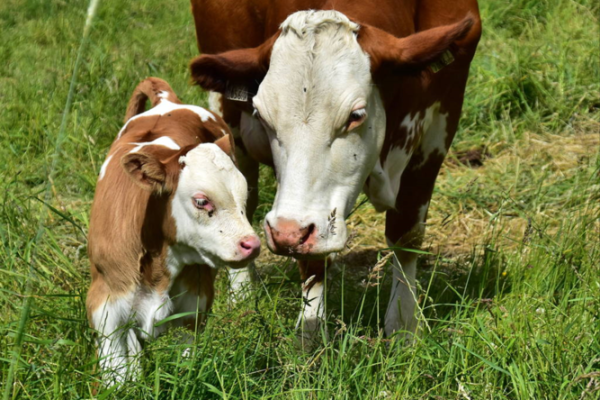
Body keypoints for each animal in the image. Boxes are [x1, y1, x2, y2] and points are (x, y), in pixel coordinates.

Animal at [86, 76, 260, 382]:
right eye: (201, 201)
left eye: (243, 196)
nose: (251, 244)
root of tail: (168, 102)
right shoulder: (106, 309)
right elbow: (117, 376)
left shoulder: (194, 306)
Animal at [190, 0, 480, 342]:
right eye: (262, 115)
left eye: (356, 115)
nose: (286, 233)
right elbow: (313, 261)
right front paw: (311, 333)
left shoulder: (439, 127)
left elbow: (406, 232)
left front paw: (403, 326)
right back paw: (243, 299)